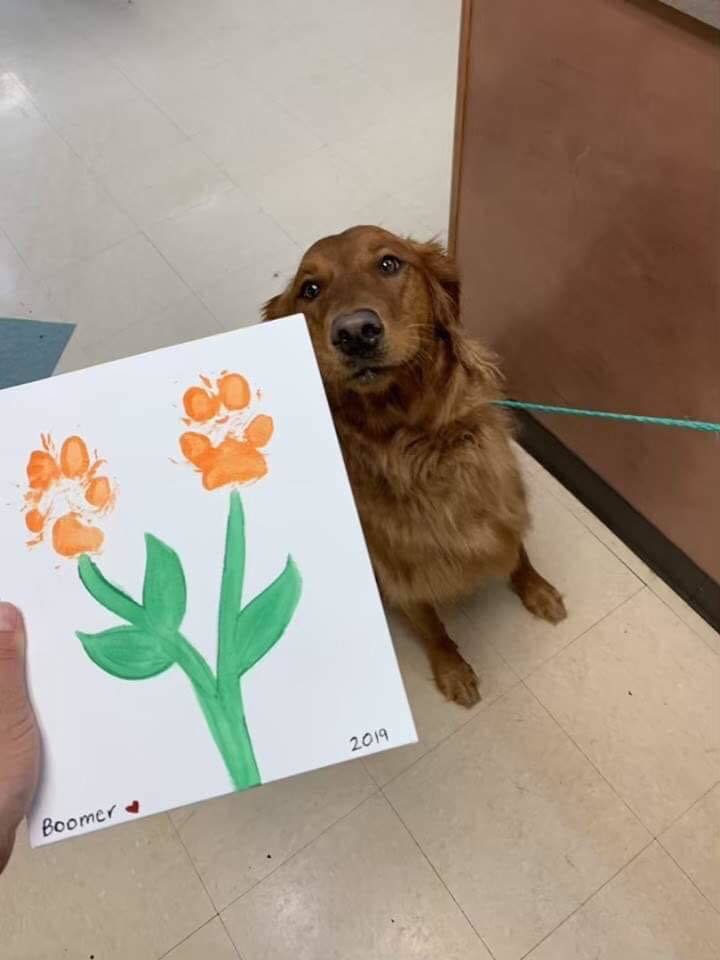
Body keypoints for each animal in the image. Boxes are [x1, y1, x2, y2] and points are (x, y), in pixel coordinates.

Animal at [262, 225, 564, 704]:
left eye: (389, 263)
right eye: (310, 290)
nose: (355, 332)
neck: (414, 440)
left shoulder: (499, 493)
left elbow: (517, 551)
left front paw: (536, 589)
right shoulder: (395, 567)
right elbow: (430, 624)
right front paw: (452, 669)